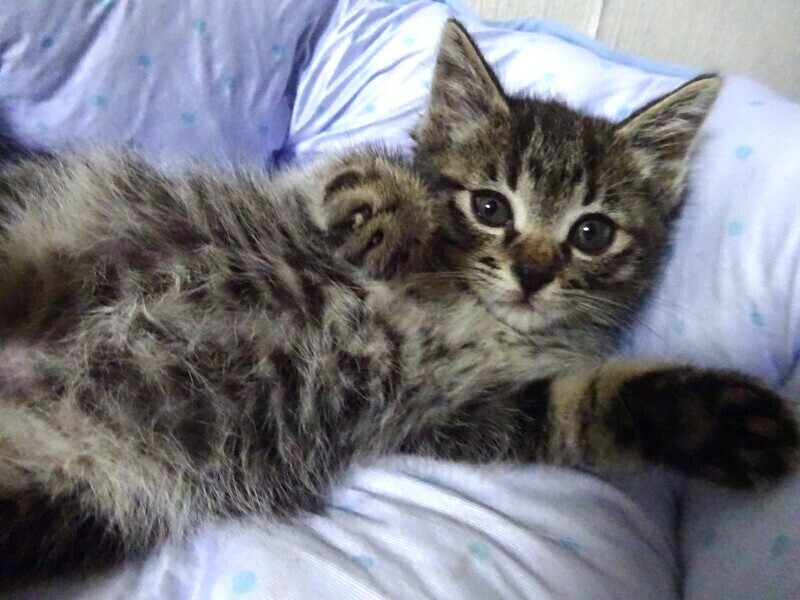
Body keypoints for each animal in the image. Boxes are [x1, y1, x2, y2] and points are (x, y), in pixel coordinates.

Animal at [0, 19, 796, 586]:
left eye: (591, 233)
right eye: (489, 206)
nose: (532, 273)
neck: (479, 316)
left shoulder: (463, 408)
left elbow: (583, 403)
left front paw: (715, 420)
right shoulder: (299, 193)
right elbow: (350, 167)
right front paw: (398, 215)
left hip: (70, 492)